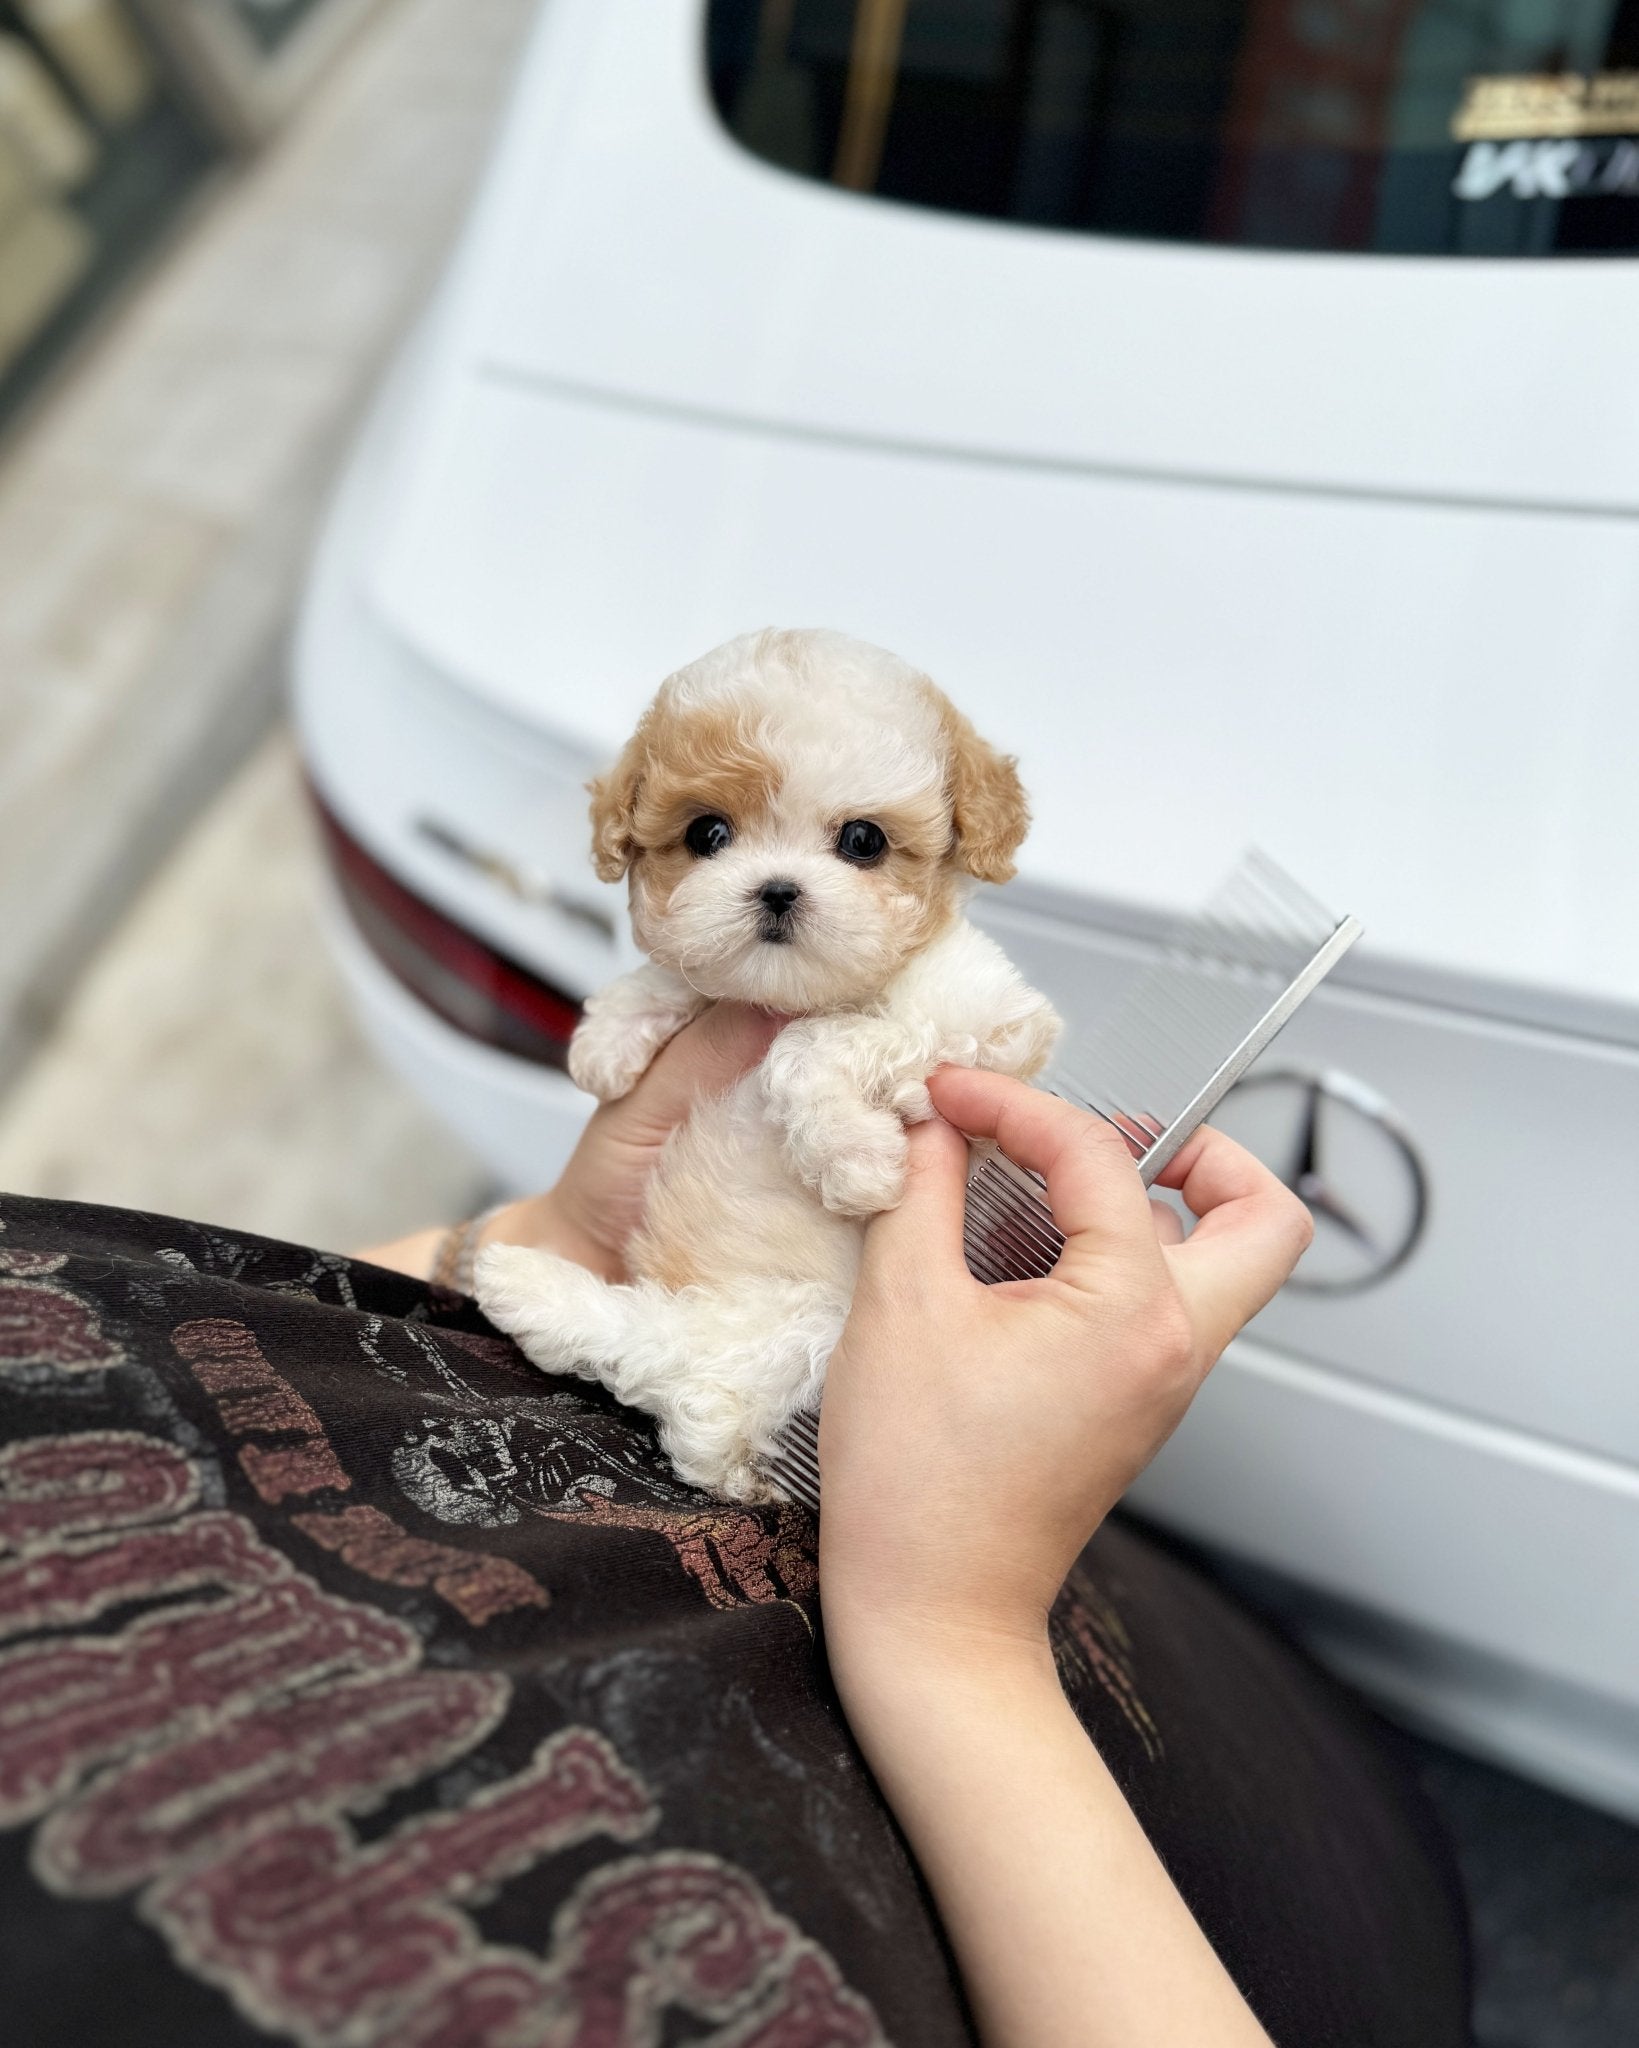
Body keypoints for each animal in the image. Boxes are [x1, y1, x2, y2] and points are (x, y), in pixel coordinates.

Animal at [477, 626, 1065, 1507]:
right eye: (707, 834)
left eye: (863, 841)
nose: (777, 890)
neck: (792, 995)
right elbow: (685, 977)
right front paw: (613, 1034)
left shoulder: (987, 1022)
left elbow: (814, 1044)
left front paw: (853, 1160)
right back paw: (521, 1281)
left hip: (808, 1337)